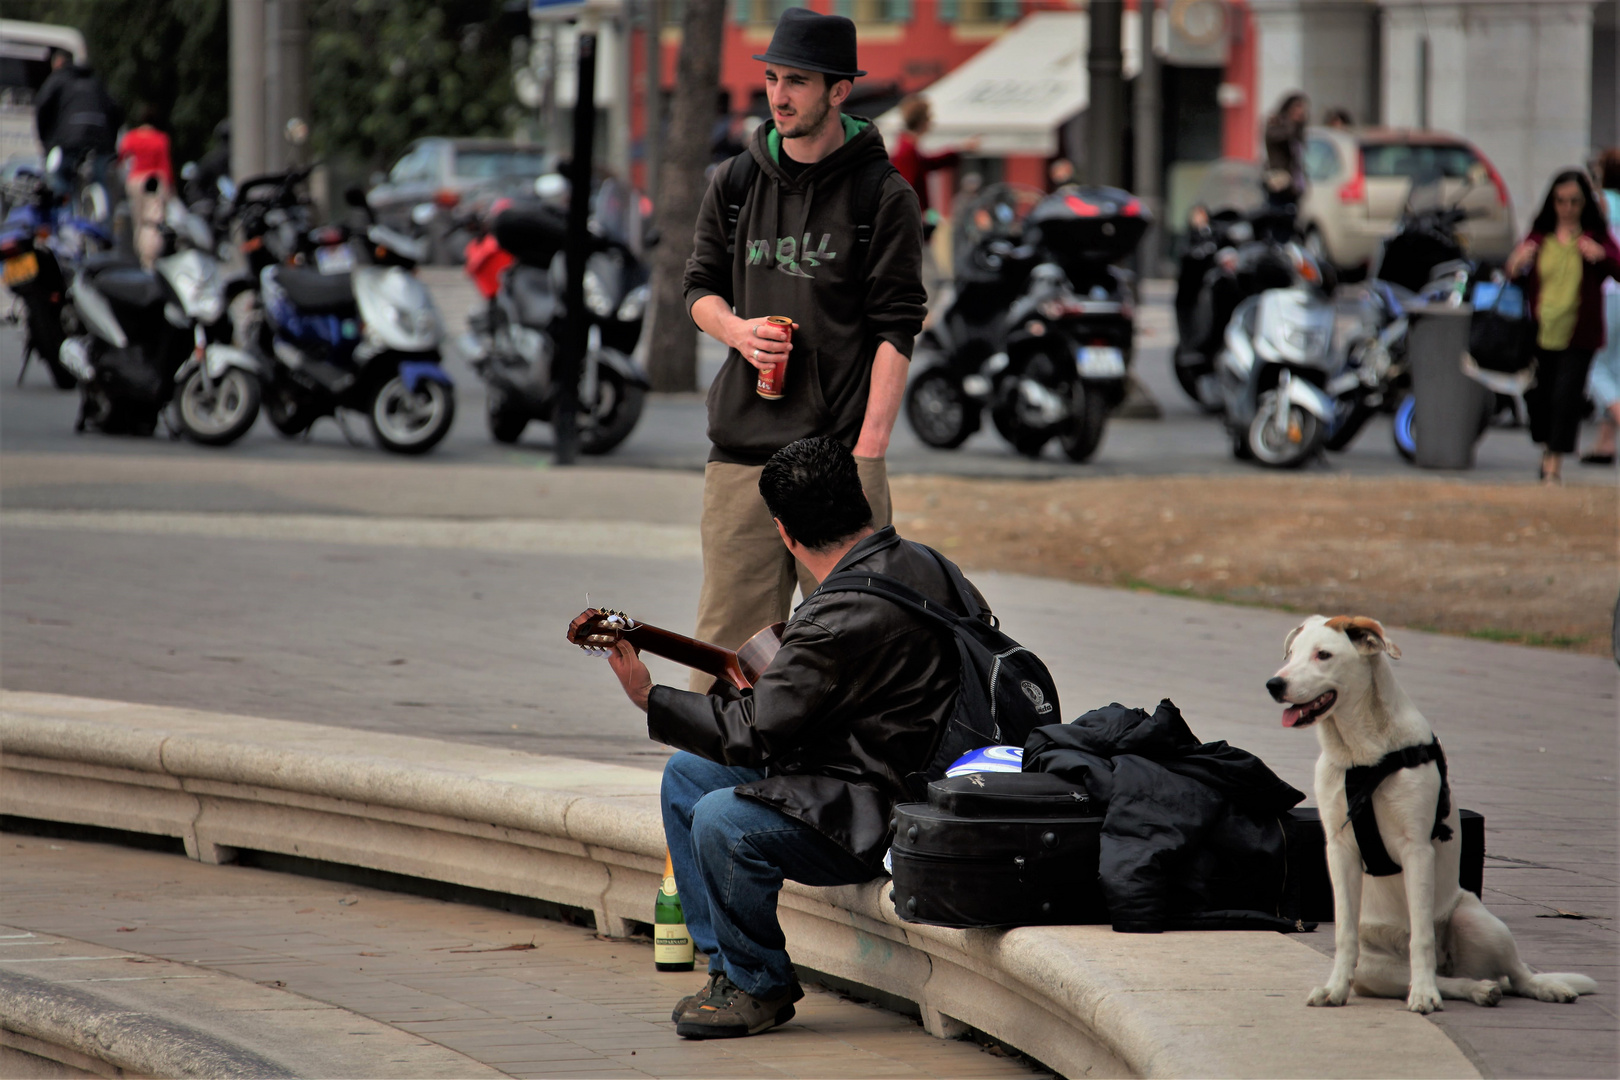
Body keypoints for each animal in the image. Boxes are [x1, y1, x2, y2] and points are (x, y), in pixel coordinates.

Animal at [1263, 615, 1594, 1016]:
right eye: (1292, 653)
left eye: (1323, 655)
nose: (1274, 684)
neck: (1361, 756)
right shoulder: (1339, 850)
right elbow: (1343, 931)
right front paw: (1335, 989)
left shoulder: (1417, 849)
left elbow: (1420, 935)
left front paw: (1422, 995)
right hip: (1376, 968)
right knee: (1449, 980)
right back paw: (1477, 989)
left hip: (1478, 921)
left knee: (1517, 973)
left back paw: (1545, 988)